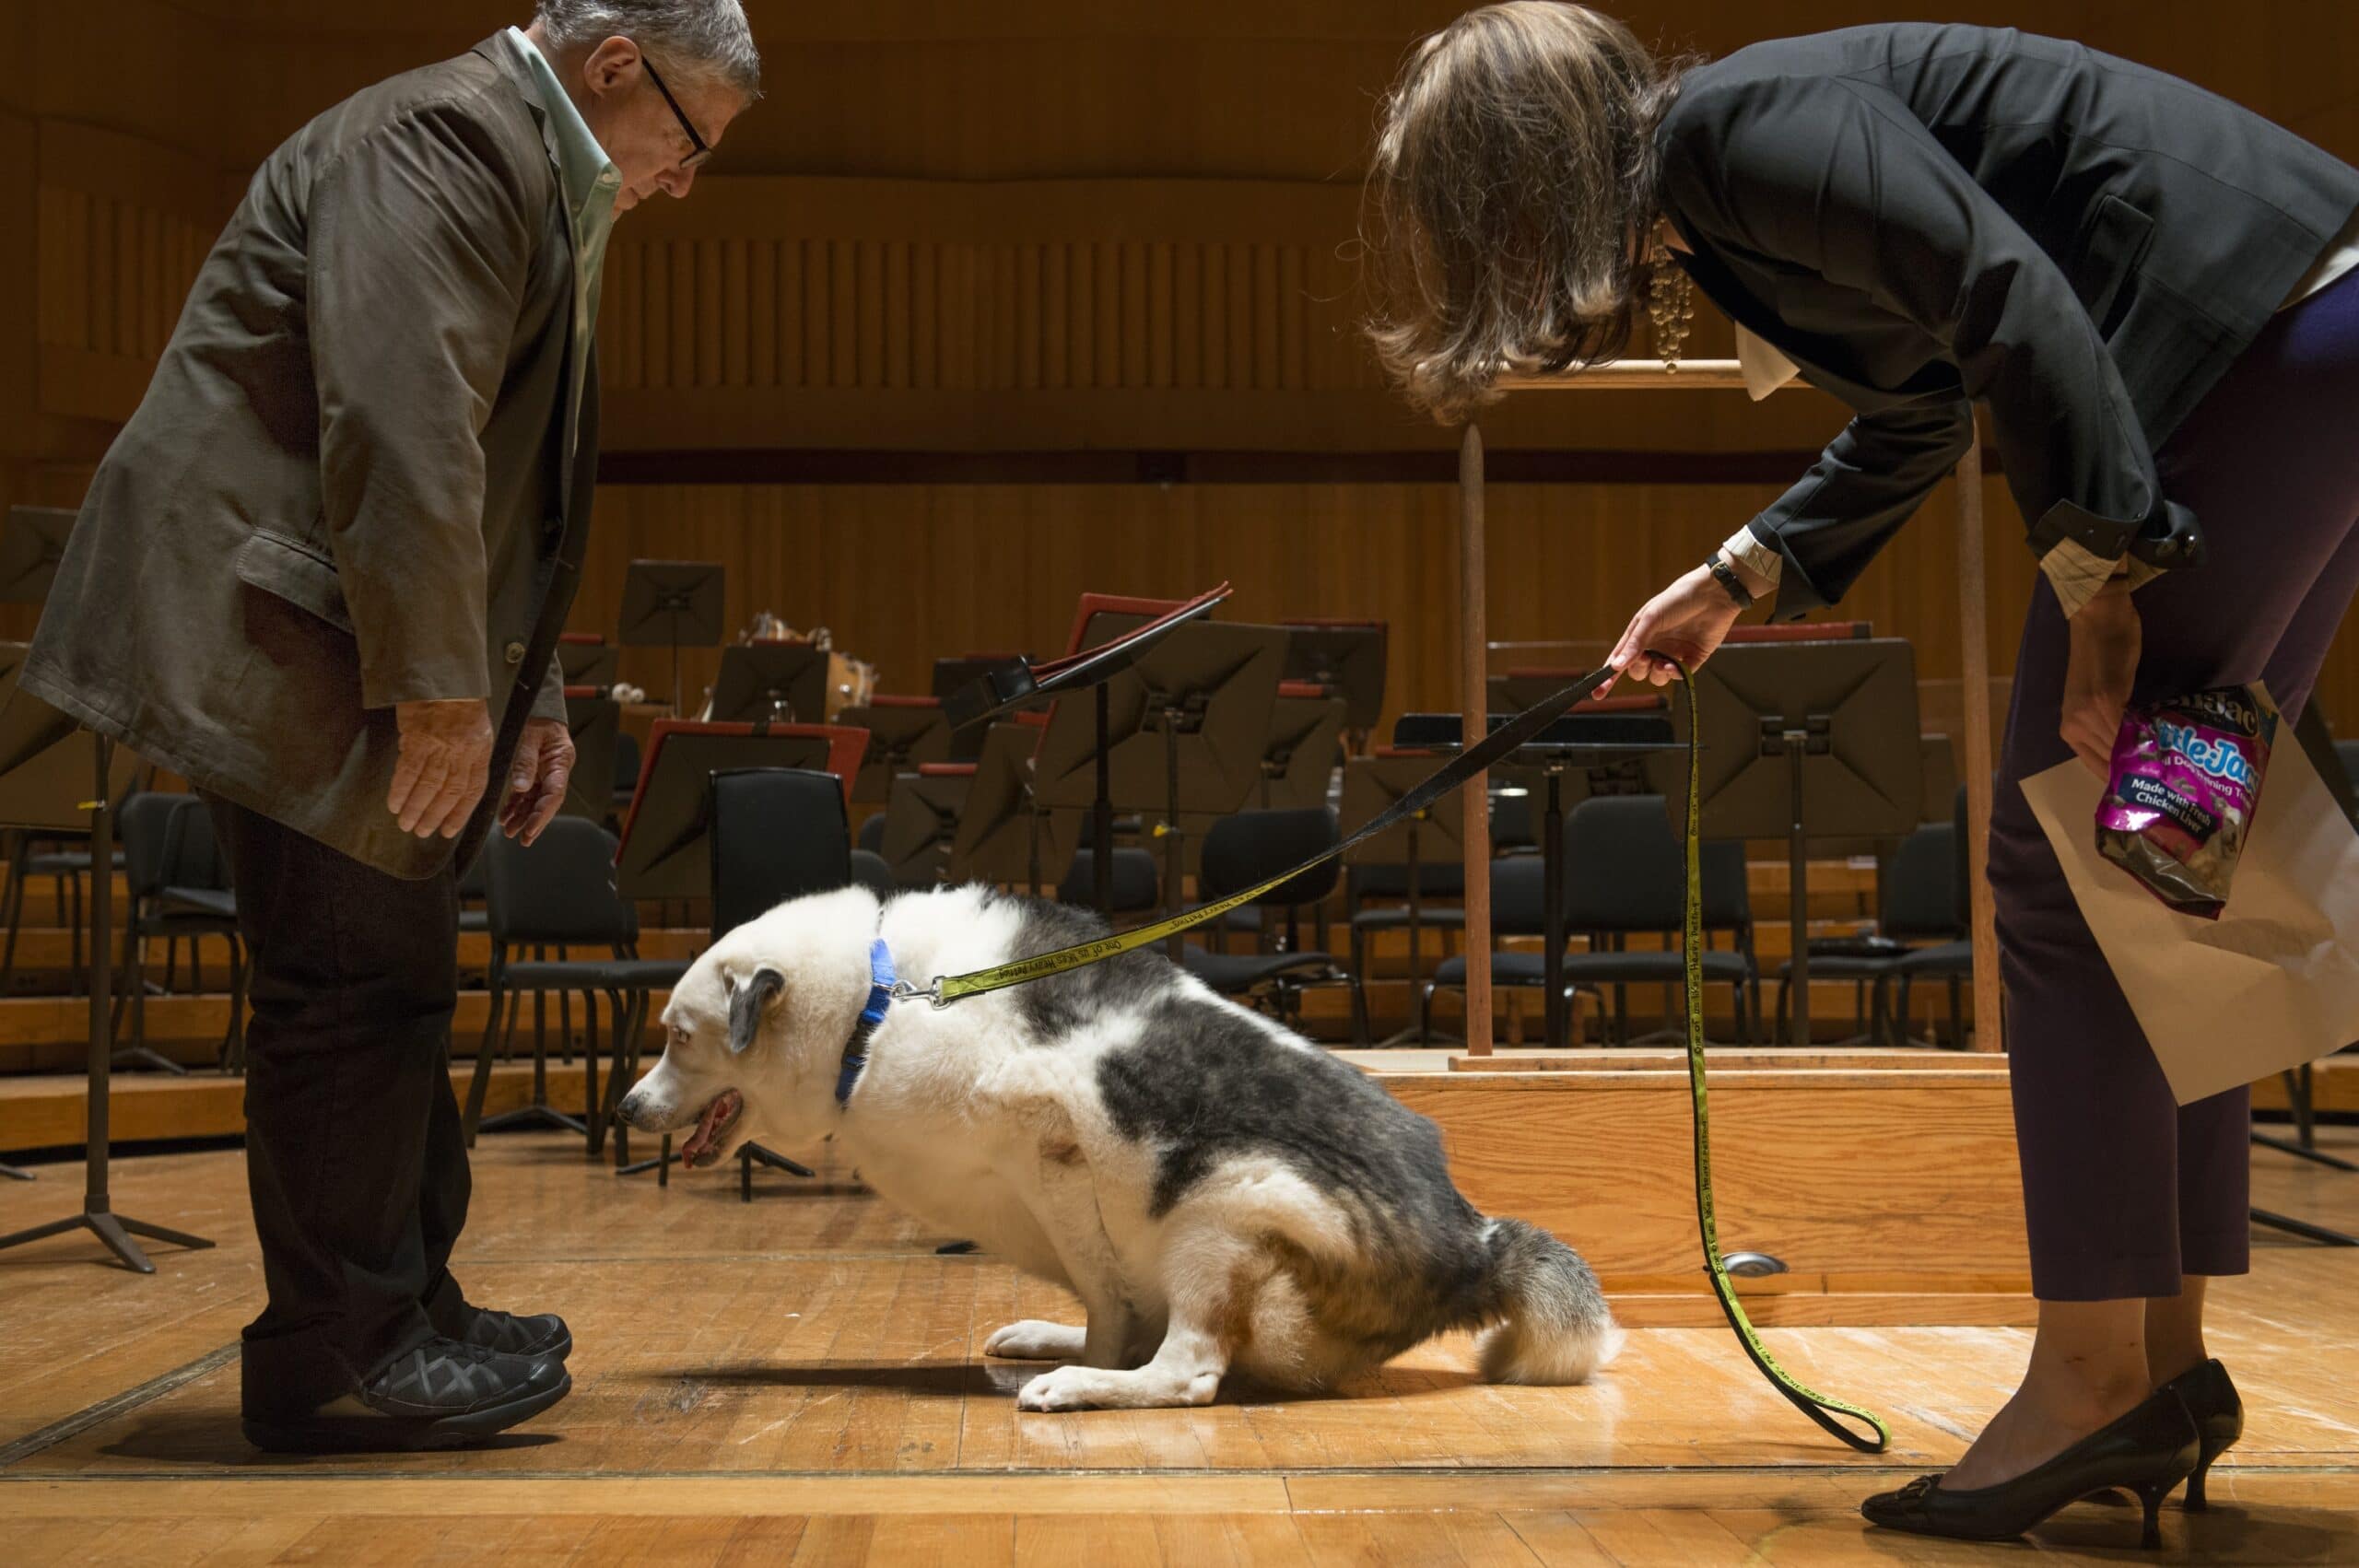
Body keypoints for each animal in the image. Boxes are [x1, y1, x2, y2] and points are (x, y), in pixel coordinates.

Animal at [613, 886, 1623, 1414]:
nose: (623, 1106)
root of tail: (1474, 1242)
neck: (876, 998)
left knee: (1186, 1374)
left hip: (1217, 1214)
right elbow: (1110, 1301)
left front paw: (1092, 1360)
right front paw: (1076, 1340)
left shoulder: (1055, 1159)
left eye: (678, 1036)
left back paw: (1086, 1383)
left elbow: (1106, 1298)